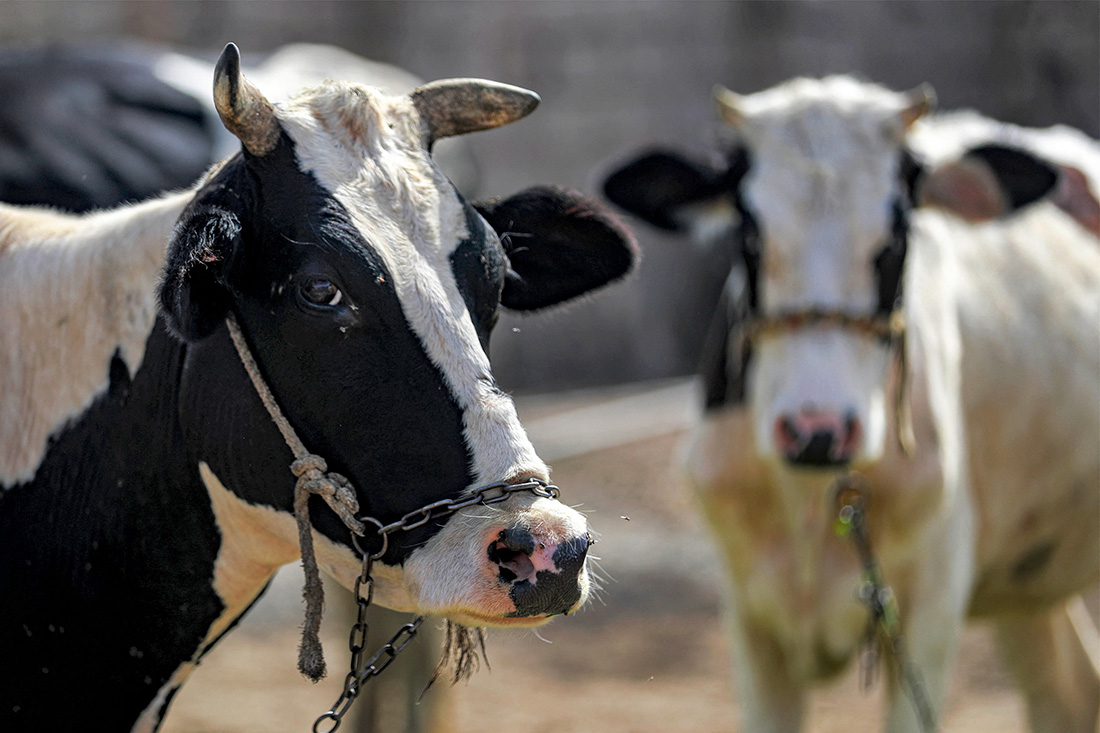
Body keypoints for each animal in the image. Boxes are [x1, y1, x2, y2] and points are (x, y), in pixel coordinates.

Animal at [602, 76, 1100, 732]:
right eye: (748, 235)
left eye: (898, 238)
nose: (818, 430)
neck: (811, 502)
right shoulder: (749, 613)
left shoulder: (932, 601)